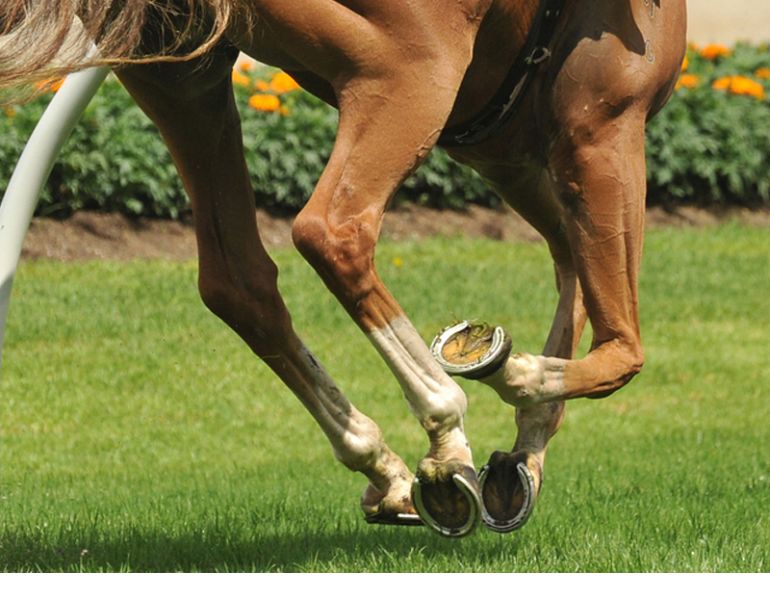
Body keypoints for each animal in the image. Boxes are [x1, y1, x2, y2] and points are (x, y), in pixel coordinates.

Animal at [0, 0, 687, 537]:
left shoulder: (517, 159)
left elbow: (573, 271)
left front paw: (521, 465)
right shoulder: (602, 131)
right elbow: (623, 348)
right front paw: (509, 373)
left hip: (185, 74)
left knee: (237, 281)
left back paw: (383, 463)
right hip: (407, 68)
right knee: (334, 233)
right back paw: (445, 431)